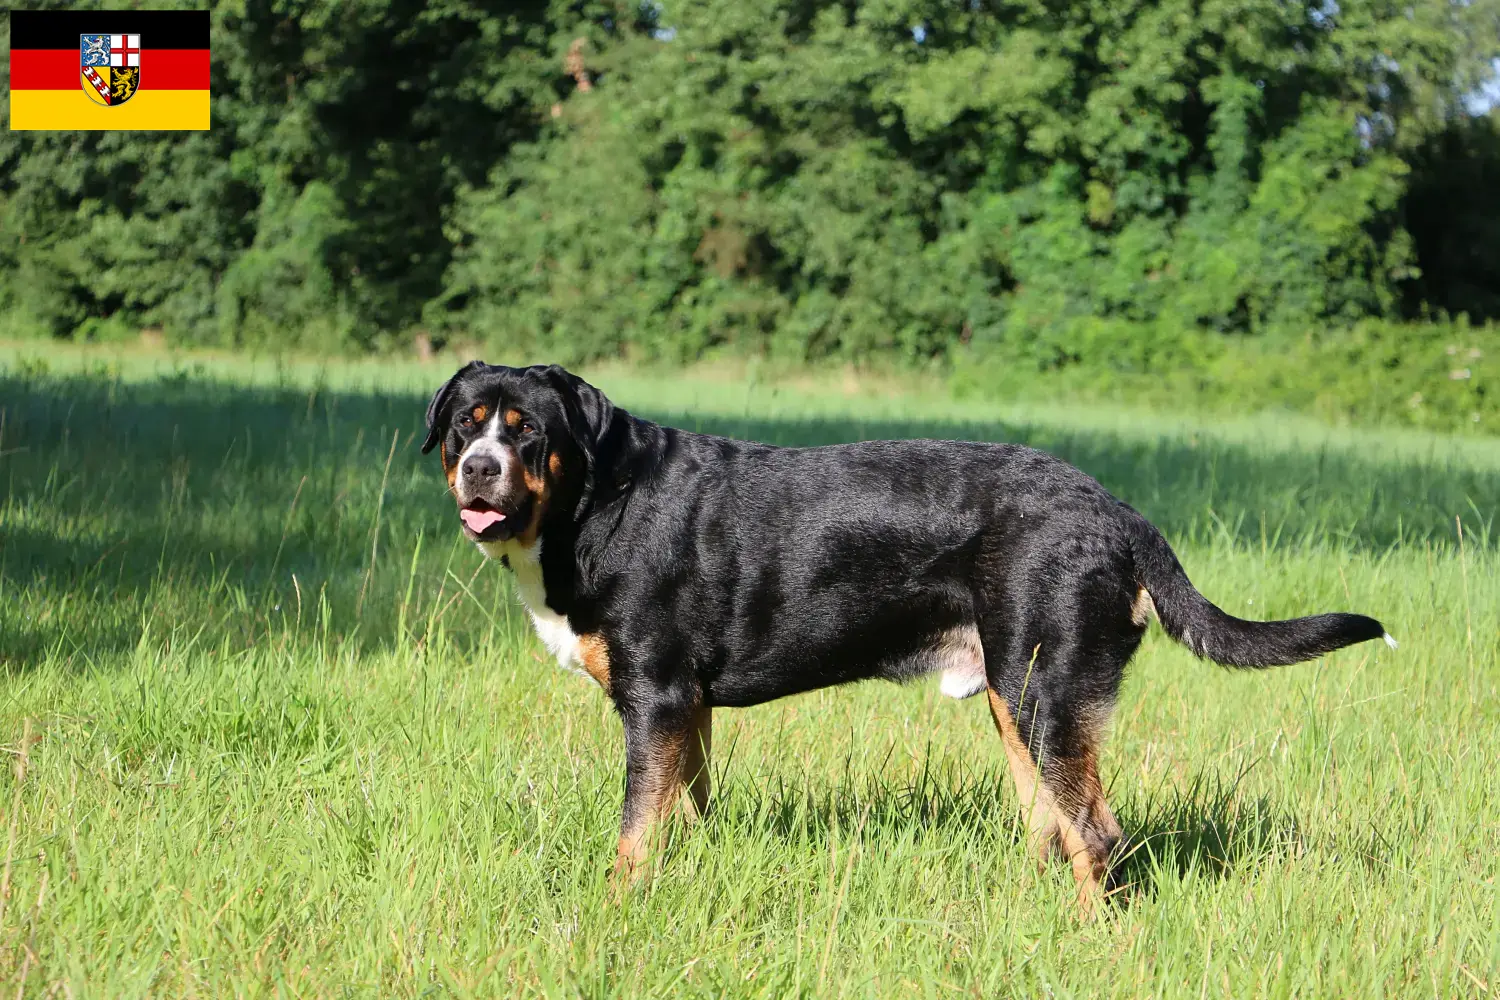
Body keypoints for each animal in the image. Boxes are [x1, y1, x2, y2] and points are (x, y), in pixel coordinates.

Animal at [417, 361, 1386, 917]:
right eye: (467, 423)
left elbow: (631, 830)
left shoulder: (655, 696)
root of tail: (1114, 511)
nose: (480, 470)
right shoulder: (686, 709)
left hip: (1045, 695)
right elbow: (680, 813)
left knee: (1097, 835)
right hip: (1016, 697)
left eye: (529, 433)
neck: (596, 500)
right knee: (1052, 825)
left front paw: (619, 912)